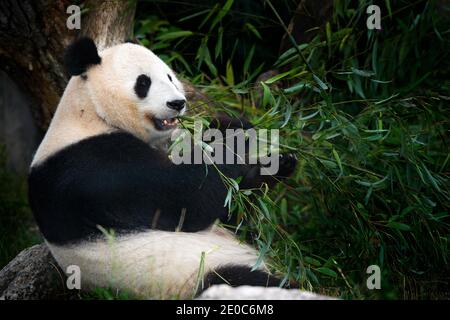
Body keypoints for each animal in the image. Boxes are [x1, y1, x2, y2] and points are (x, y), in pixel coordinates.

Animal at [27, 38, 296, 300]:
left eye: (169, 76)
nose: (177, 103)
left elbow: (233, 214)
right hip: (199, 273)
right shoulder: (97, 167)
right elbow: (189, 198)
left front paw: (270, 160)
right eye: (143, 82)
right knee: (247, 282)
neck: (90, 112)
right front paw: (236, 132)